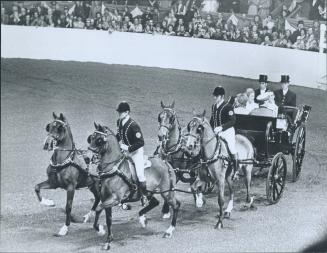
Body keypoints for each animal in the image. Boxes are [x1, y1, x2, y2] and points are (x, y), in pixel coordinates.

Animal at [88, 123, 181, 251]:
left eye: (99, 140)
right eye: (91, 137)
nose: (91, 156)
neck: (114, 168)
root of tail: (166, 163)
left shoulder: (114, 200)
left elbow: (97, 209)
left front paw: (100, 230)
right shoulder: (107, 200)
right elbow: (108, 220)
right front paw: (108, 240)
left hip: (167, 193)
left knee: (176, 205)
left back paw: (169, 231)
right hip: (149, 192)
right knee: (155, 202)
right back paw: (142, 219)